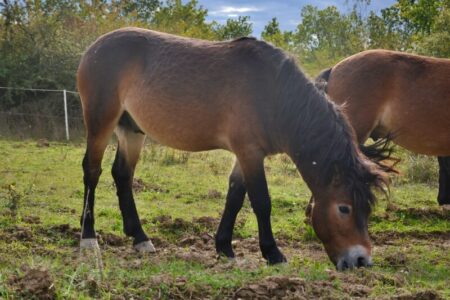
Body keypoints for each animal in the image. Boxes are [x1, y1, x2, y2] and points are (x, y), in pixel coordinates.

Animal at [76, 28, 386, 270]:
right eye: (344, 208)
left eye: (368, 208)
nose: (361, 261)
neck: (275, 95)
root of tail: (94, 47)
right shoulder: (249, 151)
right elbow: (261, 201)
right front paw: (273, 253)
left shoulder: (247, 153)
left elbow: (235, 196)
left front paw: (224, 247)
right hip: (101, 121)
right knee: (92, 171)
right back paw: (89, 237)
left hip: (132, 130)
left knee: (123, 175)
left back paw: (140, 238)